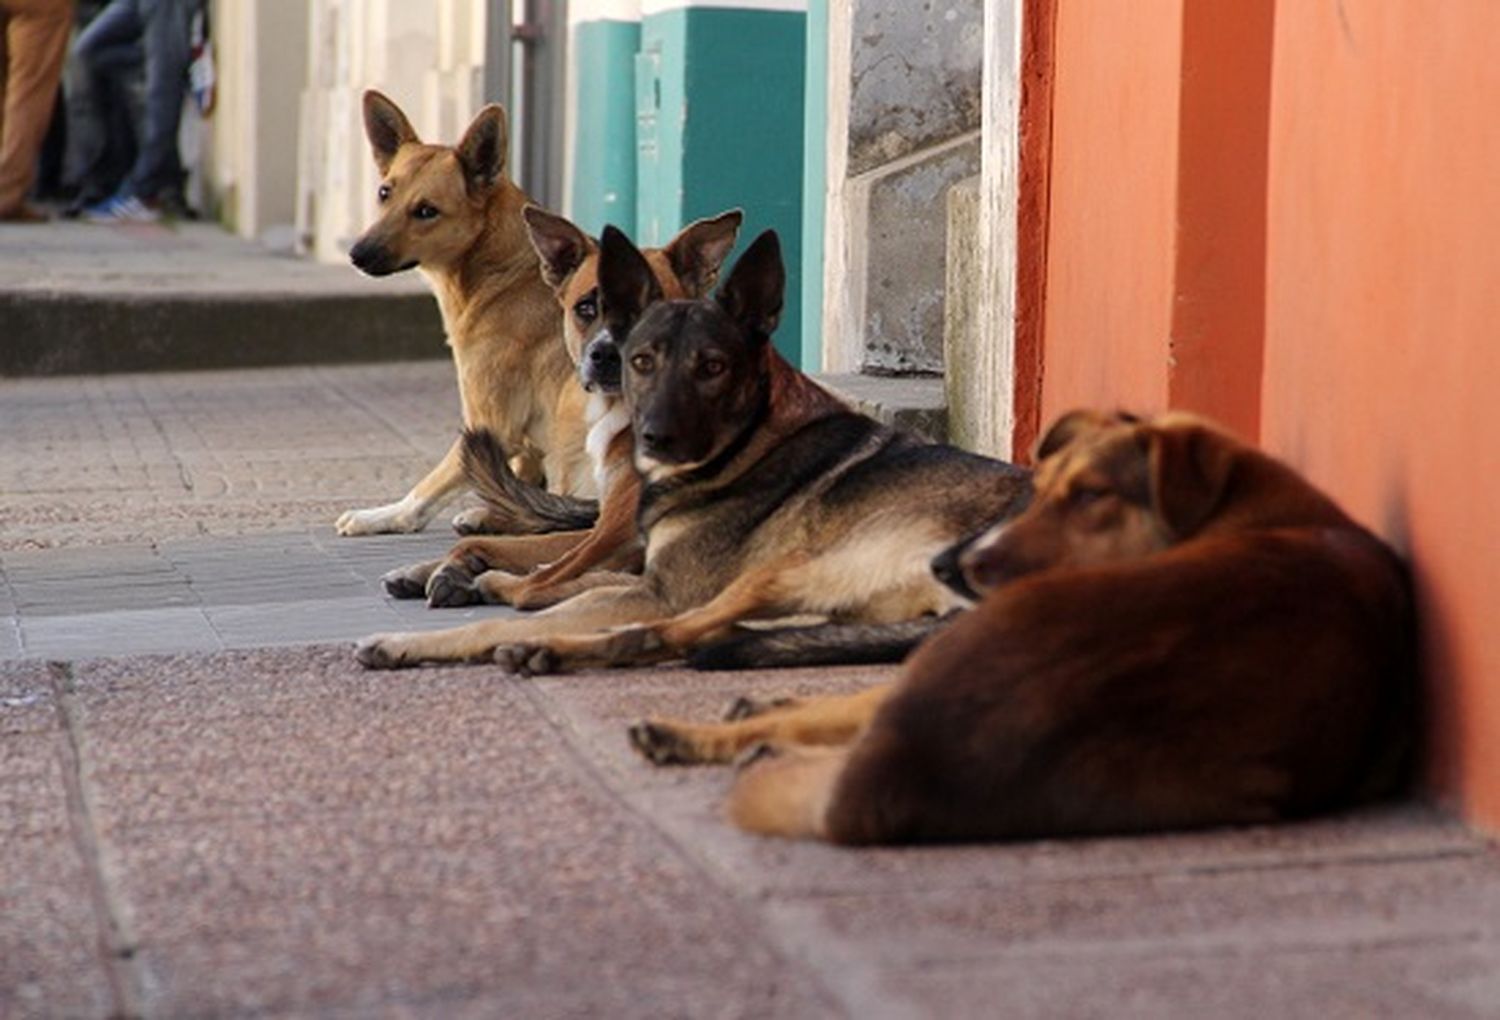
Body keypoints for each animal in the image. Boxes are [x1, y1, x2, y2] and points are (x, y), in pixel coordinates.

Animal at [340, 91, 591, 537]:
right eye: (385, 193)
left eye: (426, 211)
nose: (357, 253)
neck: (500, 269)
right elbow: (516, 482)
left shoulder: (489, 424)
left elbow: (427, 489)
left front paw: (380, 516)